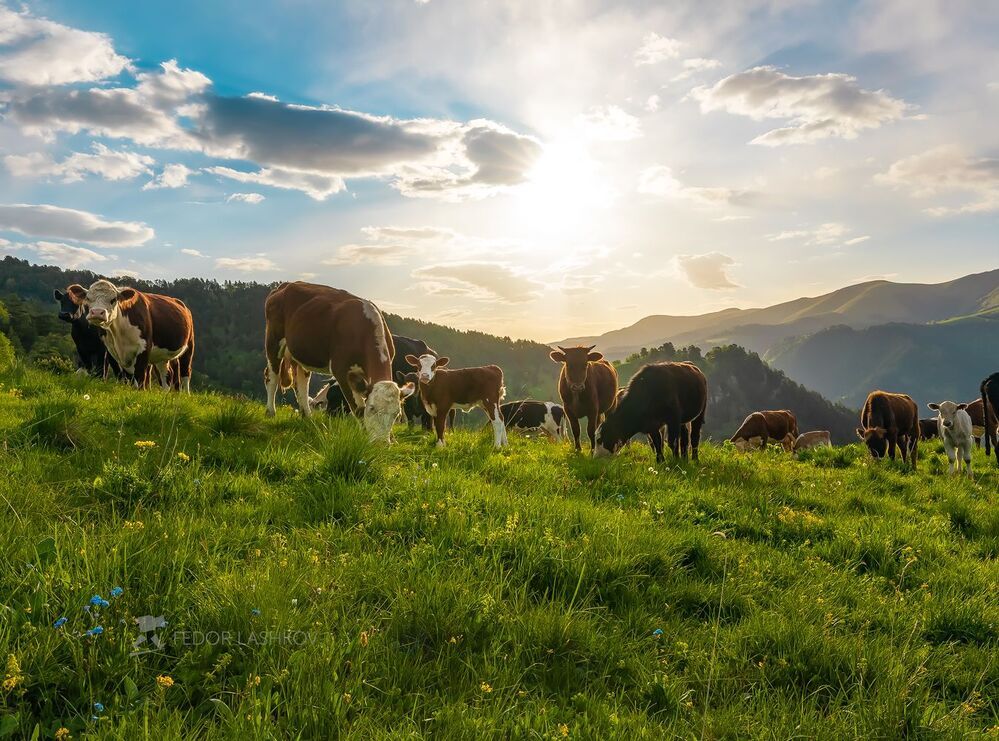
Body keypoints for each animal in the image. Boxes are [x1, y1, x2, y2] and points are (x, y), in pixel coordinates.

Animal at [66, 280, 194, 391]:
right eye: (88, 298)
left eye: (113, 299)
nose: (97, 312)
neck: (119, 333)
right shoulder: (114, 352)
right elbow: (128, 378)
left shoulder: (144, 348)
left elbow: (140, 377)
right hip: (162, 356)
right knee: (166, 375)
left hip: (188, 347)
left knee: (185, 373)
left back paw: (185, 394)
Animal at [263, 282, 415, 442]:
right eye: (372, 408)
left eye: (397, 414)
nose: (380, 443)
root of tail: (286, 285)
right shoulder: (341, 370)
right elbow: (359, 409)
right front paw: (365, 436)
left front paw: (392, 439)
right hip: (273, 341)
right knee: (272, 376)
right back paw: (271, 412)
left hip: (302, 351)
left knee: (301, 382)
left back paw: (307, 416)